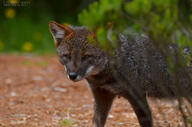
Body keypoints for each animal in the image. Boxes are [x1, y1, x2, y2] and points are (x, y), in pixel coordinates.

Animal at [49, 21, 192, 126]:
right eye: (67, 56)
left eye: (86, 56)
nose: (72, 75)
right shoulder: (102, 95)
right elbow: (96, 122)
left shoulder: (137, 96)